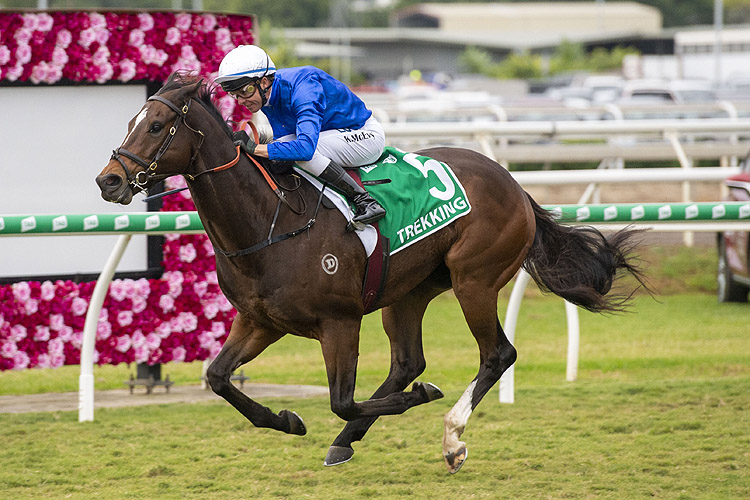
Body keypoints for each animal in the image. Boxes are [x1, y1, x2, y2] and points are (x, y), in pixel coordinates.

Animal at [94, 73, 648, 472]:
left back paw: (451, 437)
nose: (109, 180)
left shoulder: (339, 322)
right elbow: (218, 378)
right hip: (408, 292)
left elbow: (341, 399)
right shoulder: (261, 321)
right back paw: (348, 441)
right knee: (407, 362)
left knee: (497, 354)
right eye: (131, 120)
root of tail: (513, 183)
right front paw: (286, 419)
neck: (269, 224)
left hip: (473, 280)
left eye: (157, 126)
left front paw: (417, 402)